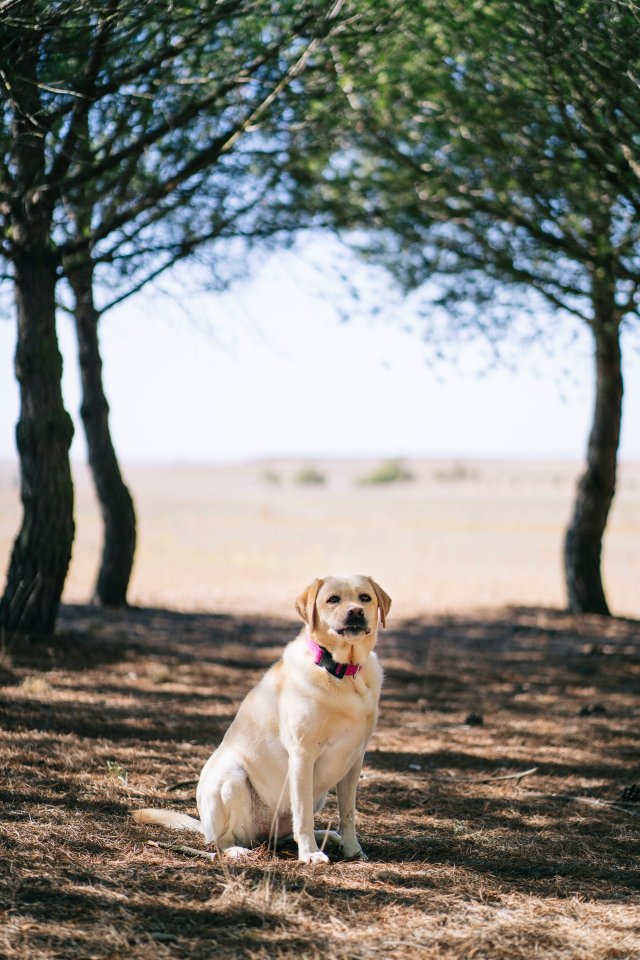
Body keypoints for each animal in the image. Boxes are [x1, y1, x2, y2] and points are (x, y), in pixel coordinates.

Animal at [132, 572, 388, 868]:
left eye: (364, 598)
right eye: (333, 599)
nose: (355, 611)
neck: (342, 674)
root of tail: (204, 825)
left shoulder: (354, 759)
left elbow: (348, 814)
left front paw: (353, 850)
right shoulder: (302, 756)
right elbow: (303, 814)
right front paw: (310, 854)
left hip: (315, 796)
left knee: (288, 833)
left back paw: (327, 836)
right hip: (231, 775)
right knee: (223, 840)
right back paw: (236, 850)